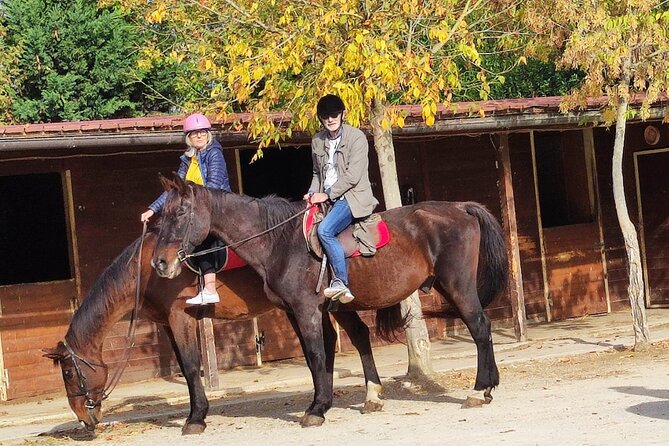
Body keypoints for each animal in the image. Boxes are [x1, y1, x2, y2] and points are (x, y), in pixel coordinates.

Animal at [43, 232, 386, 434]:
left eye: (69, 374)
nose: (83, 418)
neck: (145, 270)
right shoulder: (168, 324)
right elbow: (185, 368)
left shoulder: (180, 317)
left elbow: (191, 366)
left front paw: (196, 418)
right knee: (334, 341)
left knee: (354, 336)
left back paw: (366, 396)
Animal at [151, 173, 506, 426]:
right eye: (161, 215)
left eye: (180, 212)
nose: (160, 263)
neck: (280, 241)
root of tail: (460, 207)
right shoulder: (303, 311)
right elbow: (322, 355)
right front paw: (328, 402)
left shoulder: (305, 309)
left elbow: (316, 353)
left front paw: (317, 409)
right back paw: (488, 387)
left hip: (457, 286)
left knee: (479, 327)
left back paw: (479, 390)